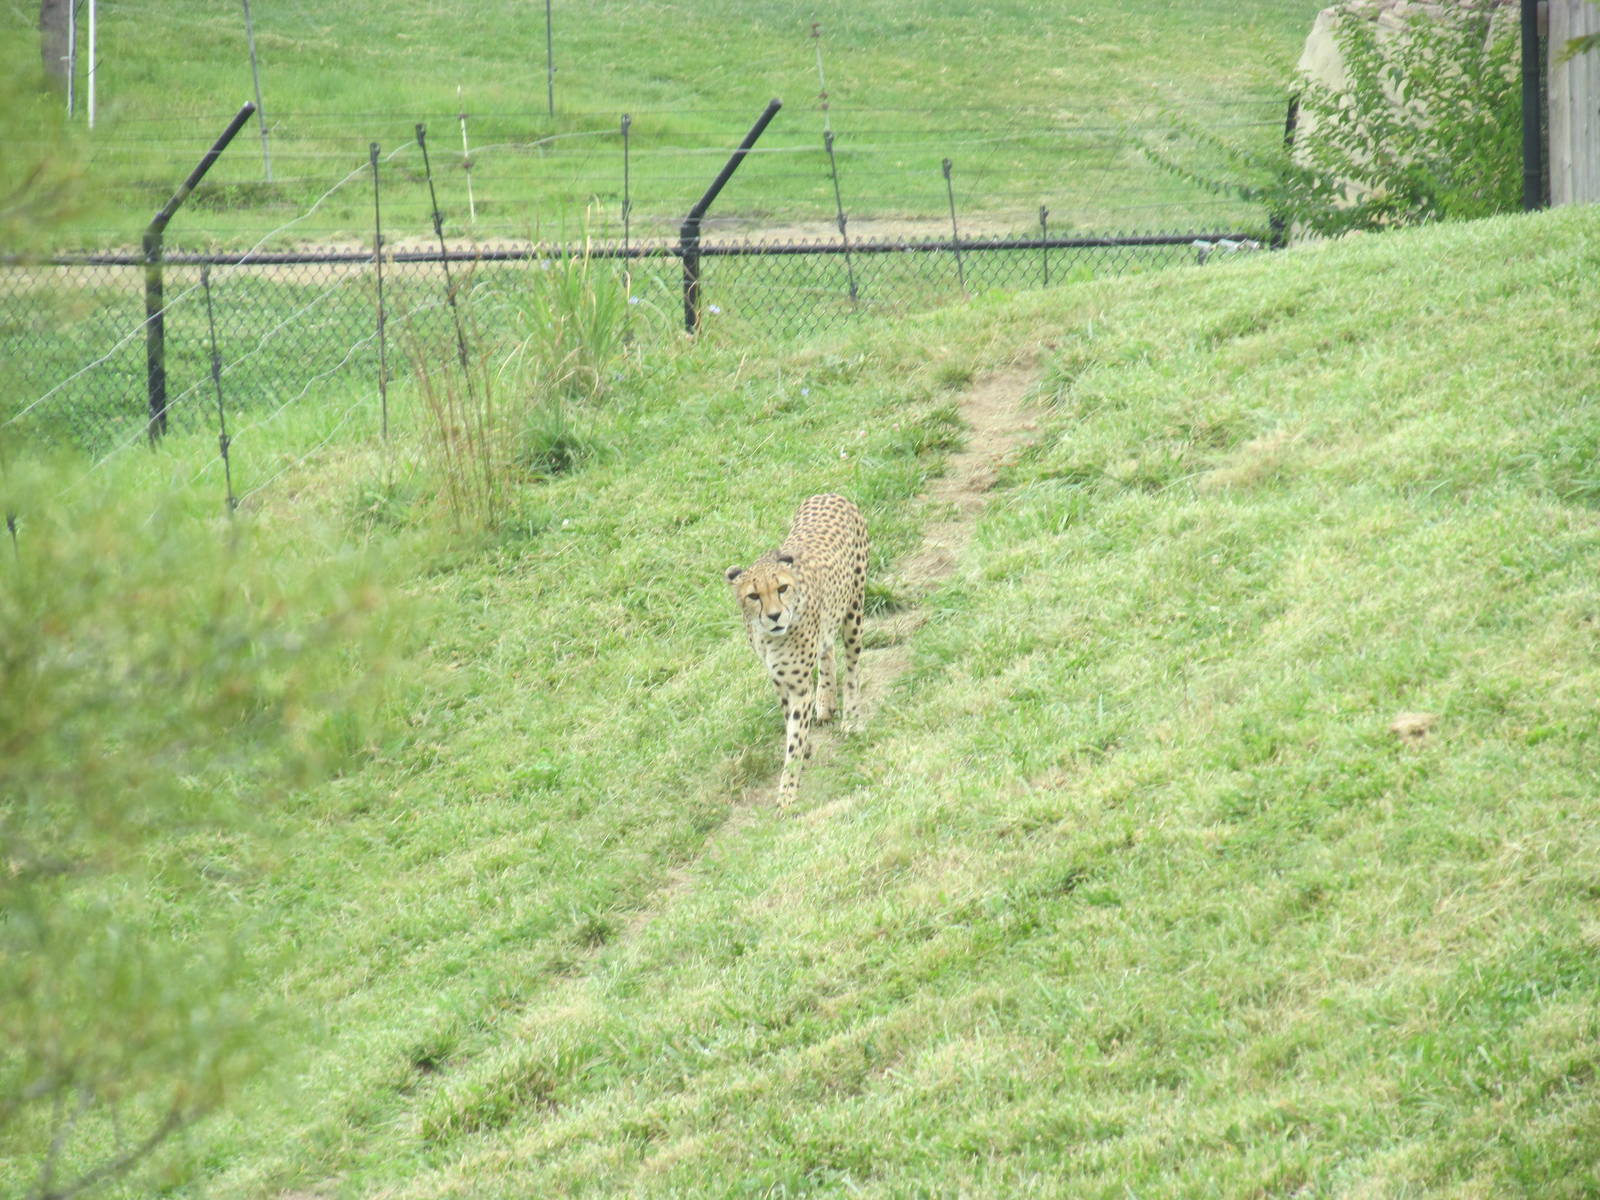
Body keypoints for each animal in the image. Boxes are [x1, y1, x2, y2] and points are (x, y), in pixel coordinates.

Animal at [725, 493, 870, 807]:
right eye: (753, 595)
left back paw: (851, 718)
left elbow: (793, 739)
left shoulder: (798, 686)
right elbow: (789, 720)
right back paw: (825, 702)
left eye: (782, 588)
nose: (775, 616)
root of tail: (829, 493)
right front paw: (806, 748)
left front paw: (787, 793)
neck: (769, 637)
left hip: (854, 609)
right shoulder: (779, 680)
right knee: (827, 649)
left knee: (853, 667)